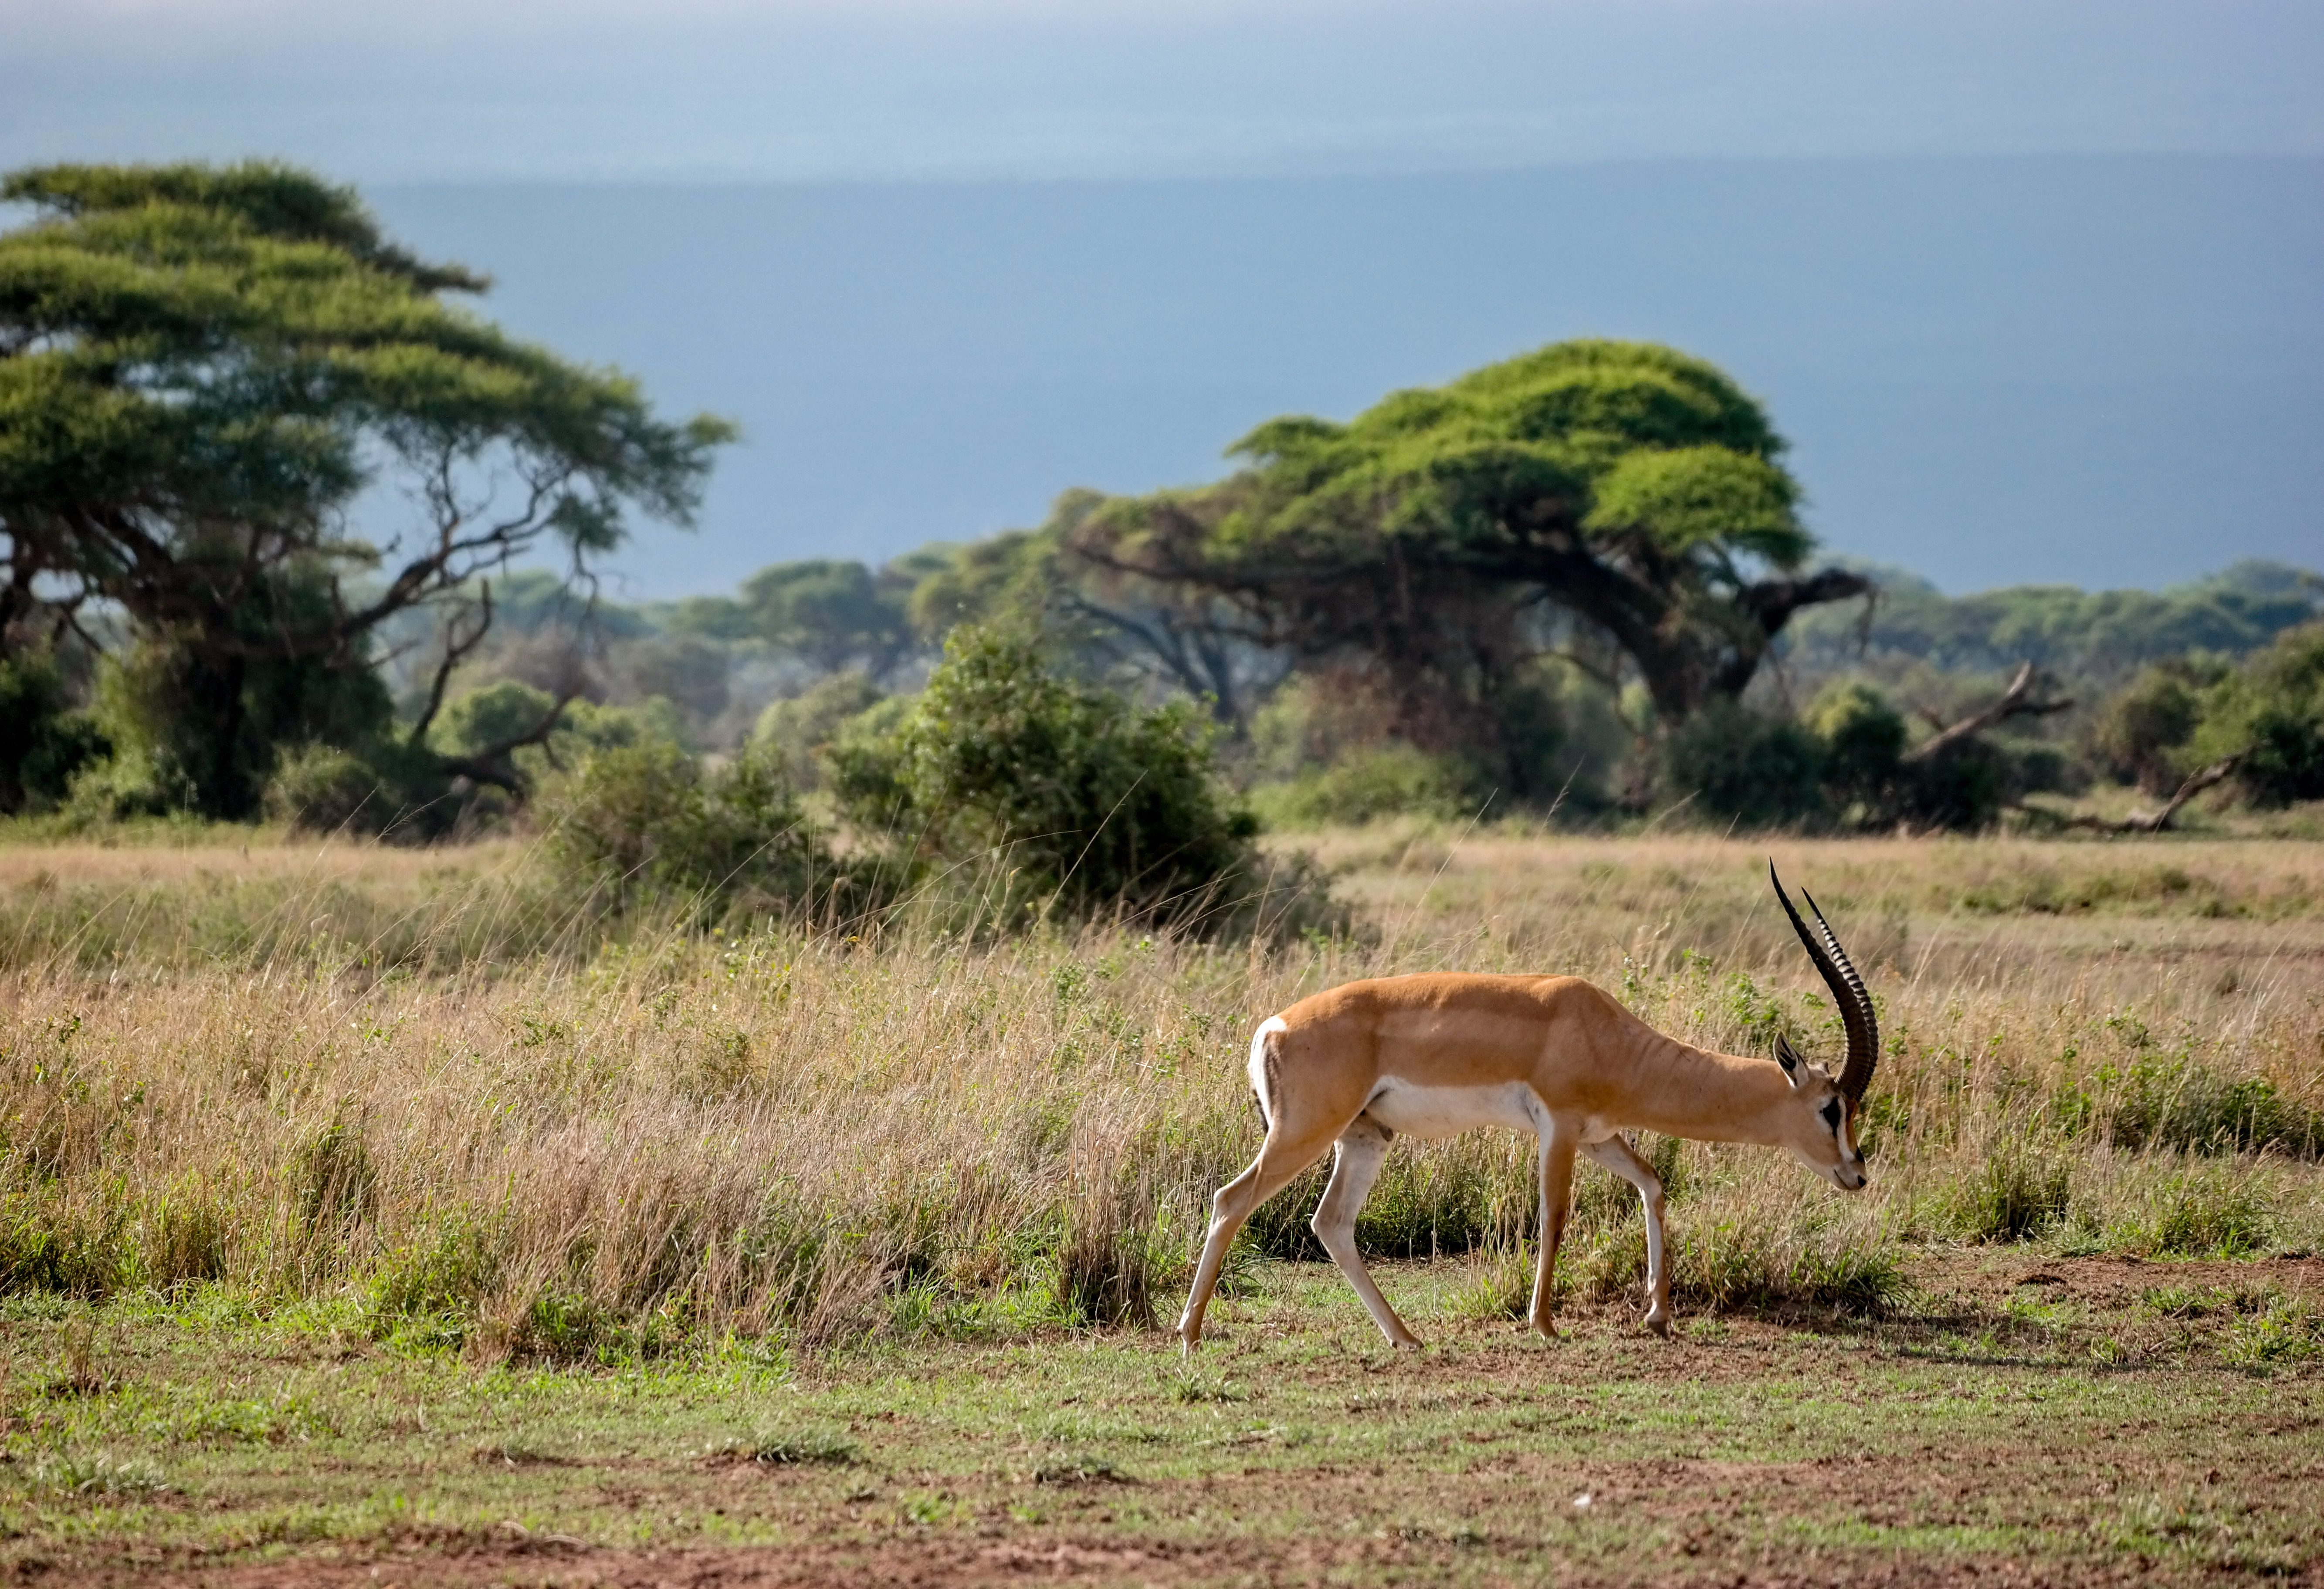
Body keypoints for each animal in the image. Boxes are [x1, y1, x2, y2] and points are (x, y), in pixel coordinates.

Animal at [1178, 864, 1878, 1349]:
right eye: (1831, 1108)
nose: (1858, 1174)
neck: (1607, 1036)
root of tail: (1271, 1028)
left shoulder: (1599, 1135)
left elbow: (1652, 1185)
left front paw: (1657, 1314)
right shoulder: (1560, 1129)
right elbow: (1554, 1215)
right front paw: (1543, 1323)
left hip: (1365, 1137)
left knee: (1331, 1224)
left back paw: (1405, 1337)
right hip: (1303, 1134)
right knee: (1231, 1201)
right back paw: (1189, 1331)